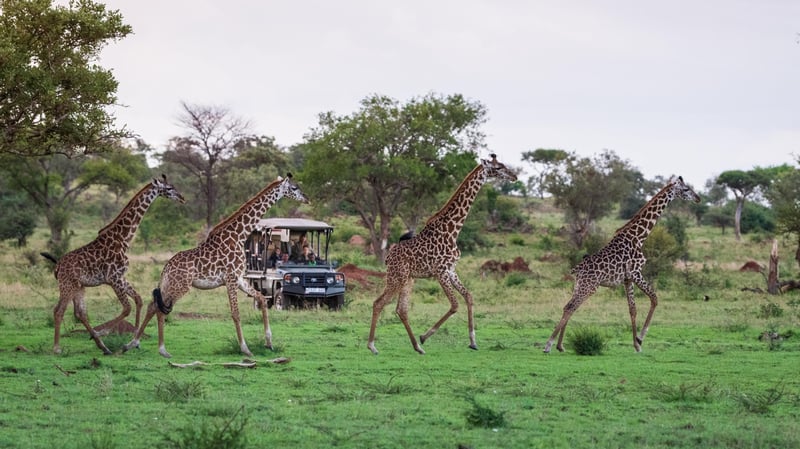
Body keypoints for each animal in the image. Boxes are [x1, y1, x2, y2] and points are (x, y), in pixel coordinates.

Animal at [43, 175, 185, 355]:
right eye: (168, 188)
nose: (182, 198)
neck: (124, 239)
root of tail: (58, 267)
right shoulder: (113, 278)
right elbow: (127, 308)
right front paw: (103, 332)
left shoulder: (120, 277)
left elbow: (138, 299)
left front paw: (135, 341)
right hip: (67, 284)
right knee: (59, 310)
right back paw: (57, 348)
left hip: (79, 286)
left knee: (80, 313)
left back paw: (103, 347)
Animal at [123, 174, 308, 358]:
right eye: (294, 188)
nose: (306, 198)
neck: (239, 235)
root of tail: (166, 268)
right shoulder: (231, 278)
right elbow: (235, 313)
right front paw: (245, 348)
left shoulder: (239, 279)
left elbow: (261, 299)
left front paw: (269, 343)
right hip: (181, 286)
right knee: (160, 309)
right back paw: (162, 349)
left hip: (169, 285)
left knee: (153, 305)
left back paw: (132, 343)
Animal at [367, 154, 517, 355]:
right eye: (499, 167)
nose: (514, 176)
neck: (453, 230)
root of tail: (387, 258)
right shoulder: (440, 271)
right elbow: (454, 304)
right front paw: (425, 336)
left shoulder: (451, 270)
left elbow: (469, 296)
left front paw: (473, 341)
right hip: (397, 276)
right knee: (379, 303)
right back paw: (372, 346)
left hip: (408, 279)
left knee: (401, 309)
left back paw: (417, 348)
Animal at [543, 176, 701, 354]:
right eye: (686, 189)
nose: (698, 198)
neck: (639, 237)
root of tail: (577, 269)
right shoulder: (635, 273)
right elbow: (654, 298)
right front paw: (640, 338)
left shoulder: (627, 279)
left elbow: (633, 309)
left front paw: (636, 345)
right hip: (589, 286)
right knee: (571, 306)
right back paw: (548, 345)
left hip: (579, 285)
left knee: (569, 306)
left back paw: (560, 345)